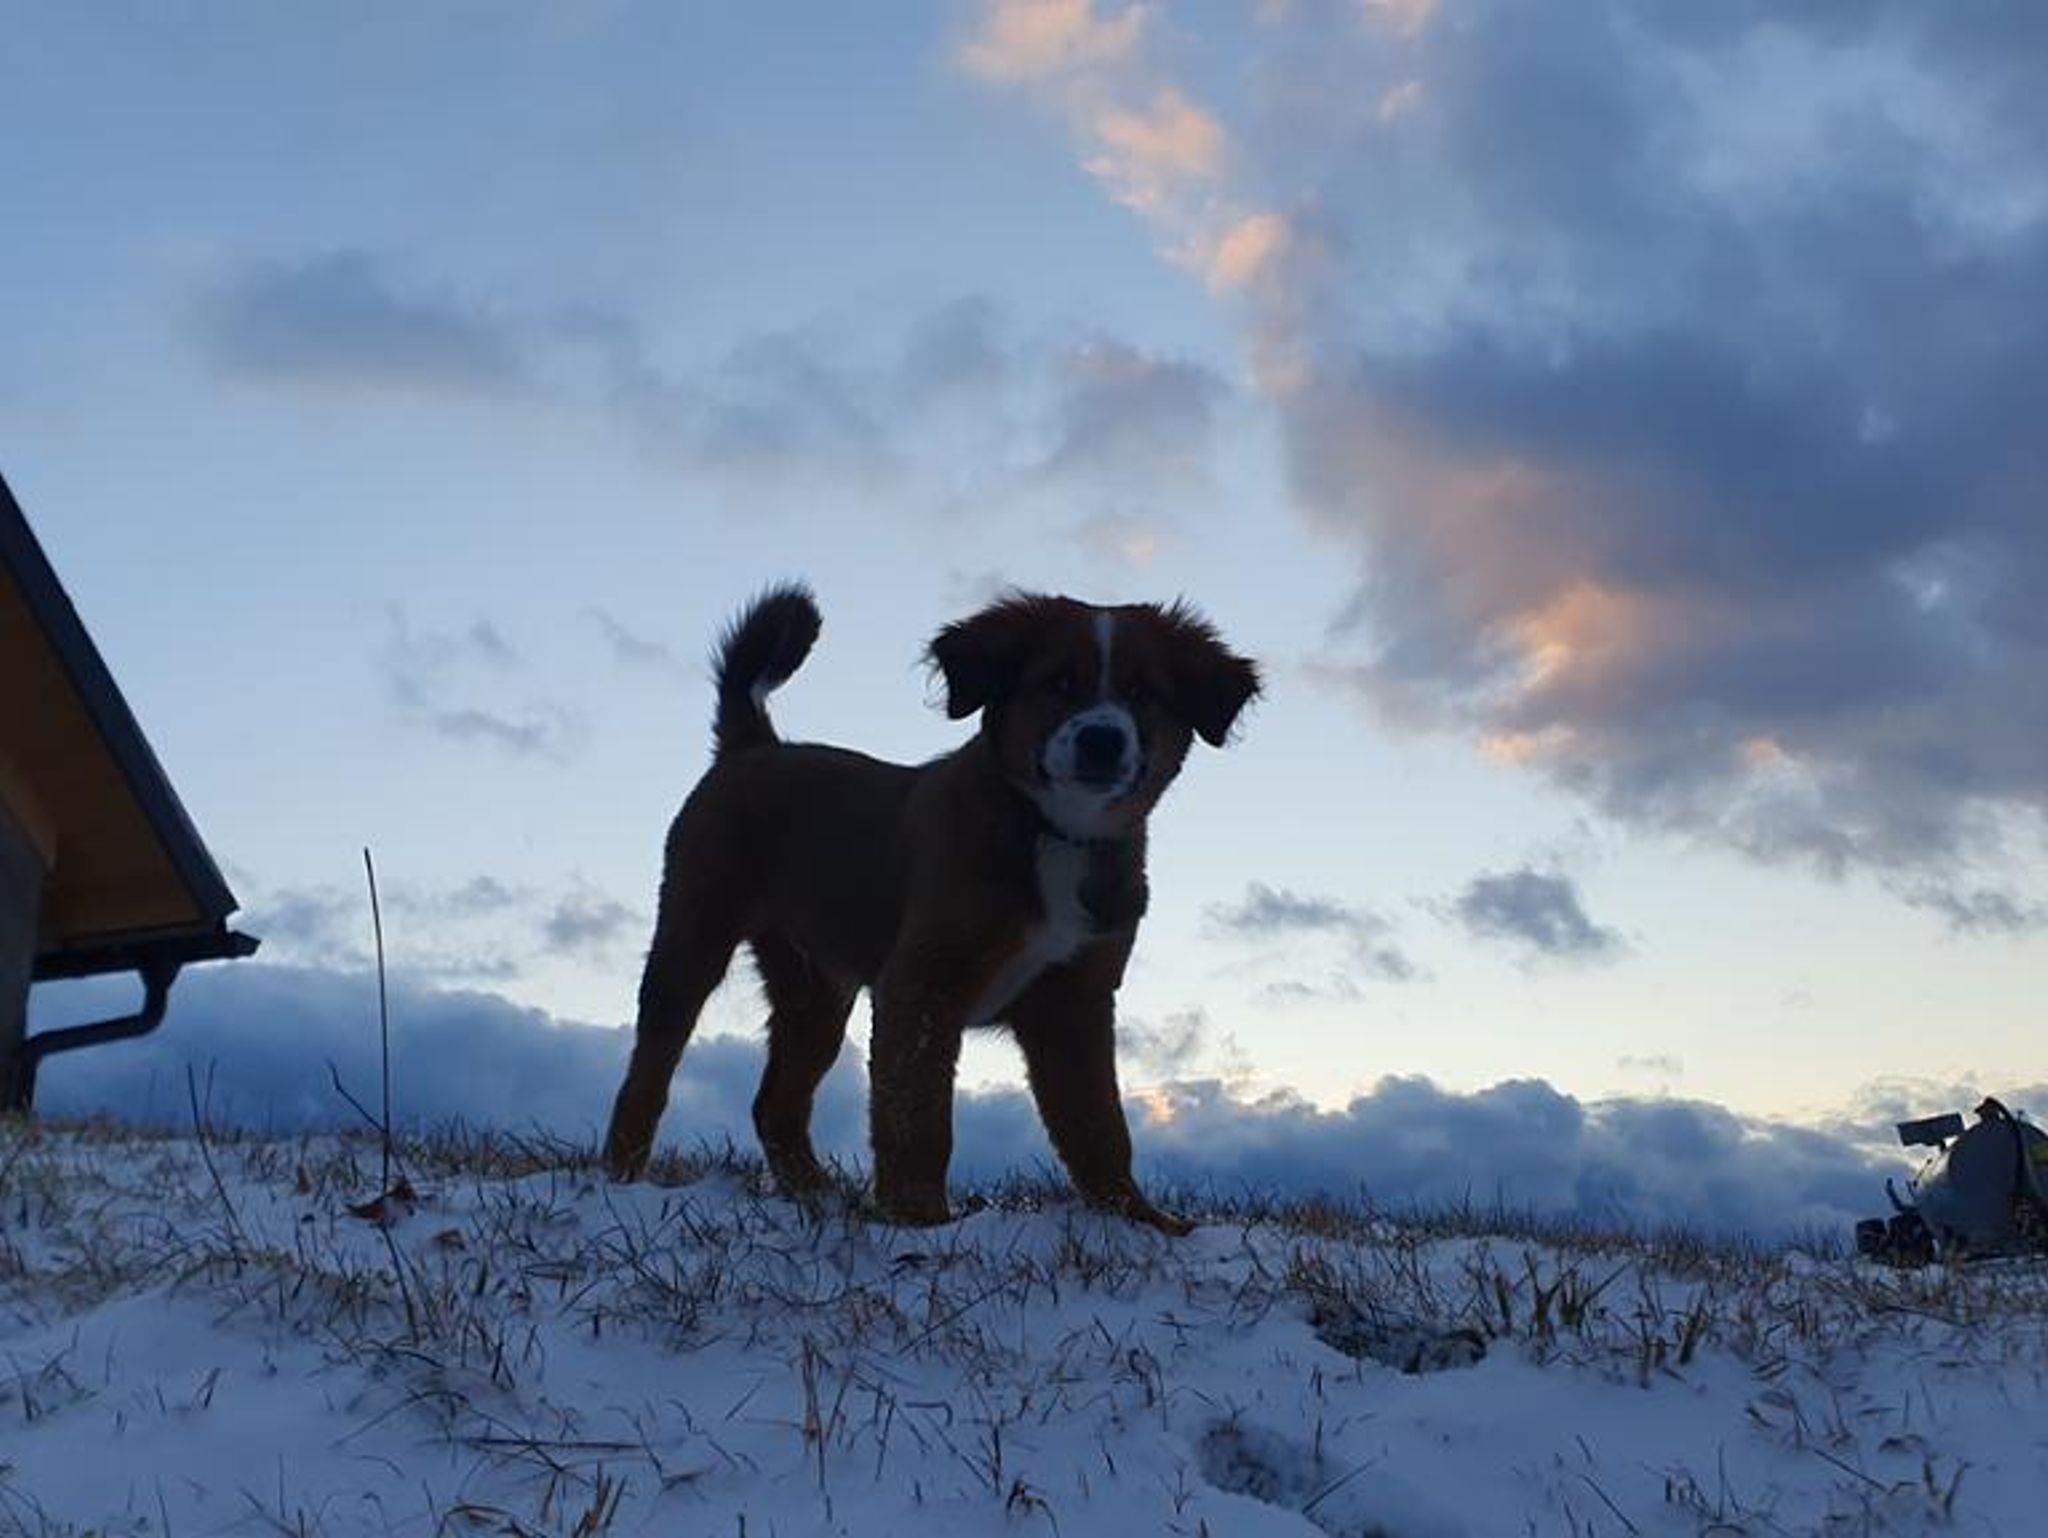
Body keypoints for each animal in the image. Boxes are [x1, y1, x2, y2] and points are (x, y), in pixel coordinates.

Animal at [602, 583, 1259, 1233]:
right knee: (649, 1069)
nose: (1102, 739)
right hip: (693, 935)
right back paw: (620, 1175)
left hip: (815, 988)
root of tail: (754, 746)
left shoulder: (1077, 997)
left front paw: (1139, 1219)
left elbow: (1097, 1122)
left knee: (776, 1102)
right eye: (1058, 683)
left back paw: (818, 1195)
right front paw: (918, 1218)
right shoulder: (923, 982)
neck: (1052, 832)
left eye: (1144, 693)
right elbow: (918, 1114)